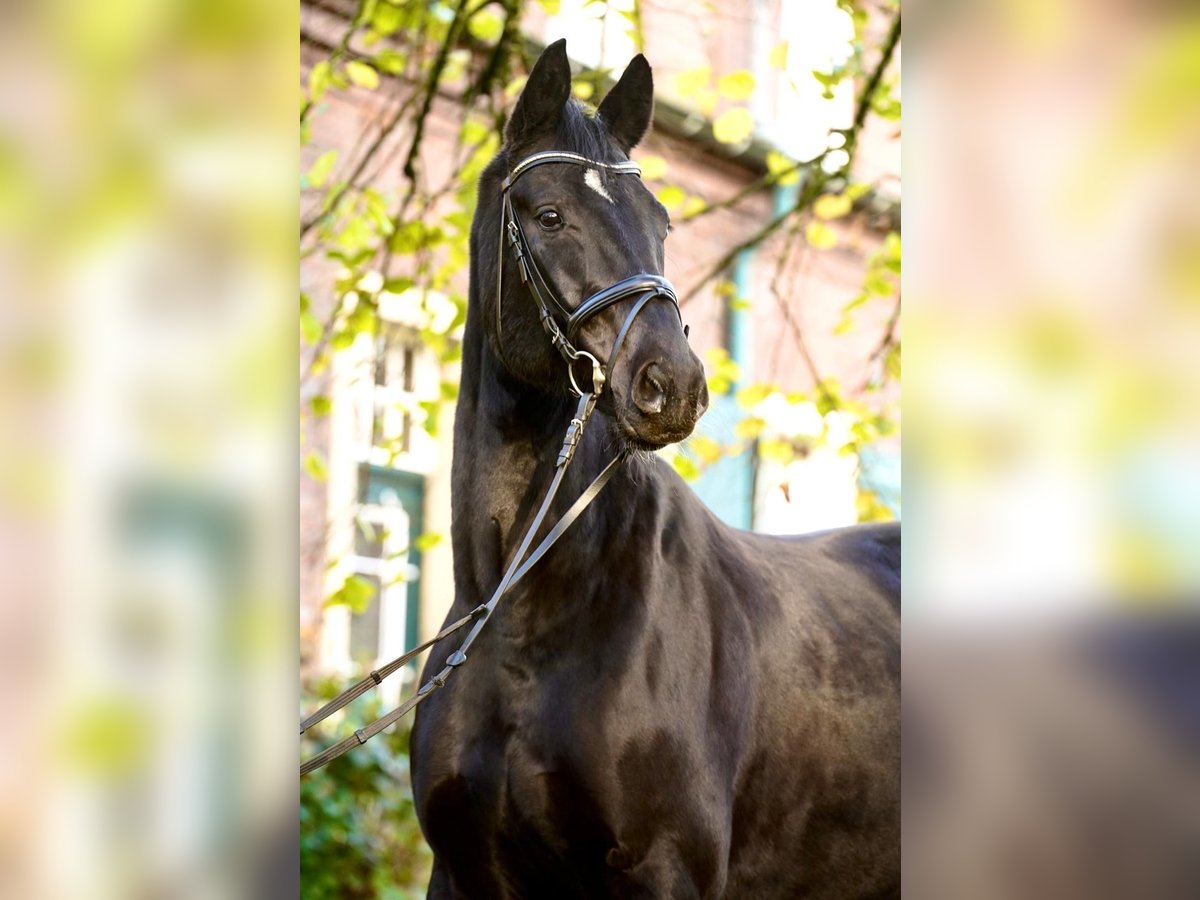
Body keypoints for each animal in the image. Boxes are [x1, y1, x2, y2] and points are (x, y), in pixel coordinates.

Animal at [410, 39, 900, 899]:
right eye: (548, 214)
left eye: (661, 221)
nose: (672, 384)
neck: (521, 614)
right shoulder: (468, 874)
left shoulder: (666, 868)